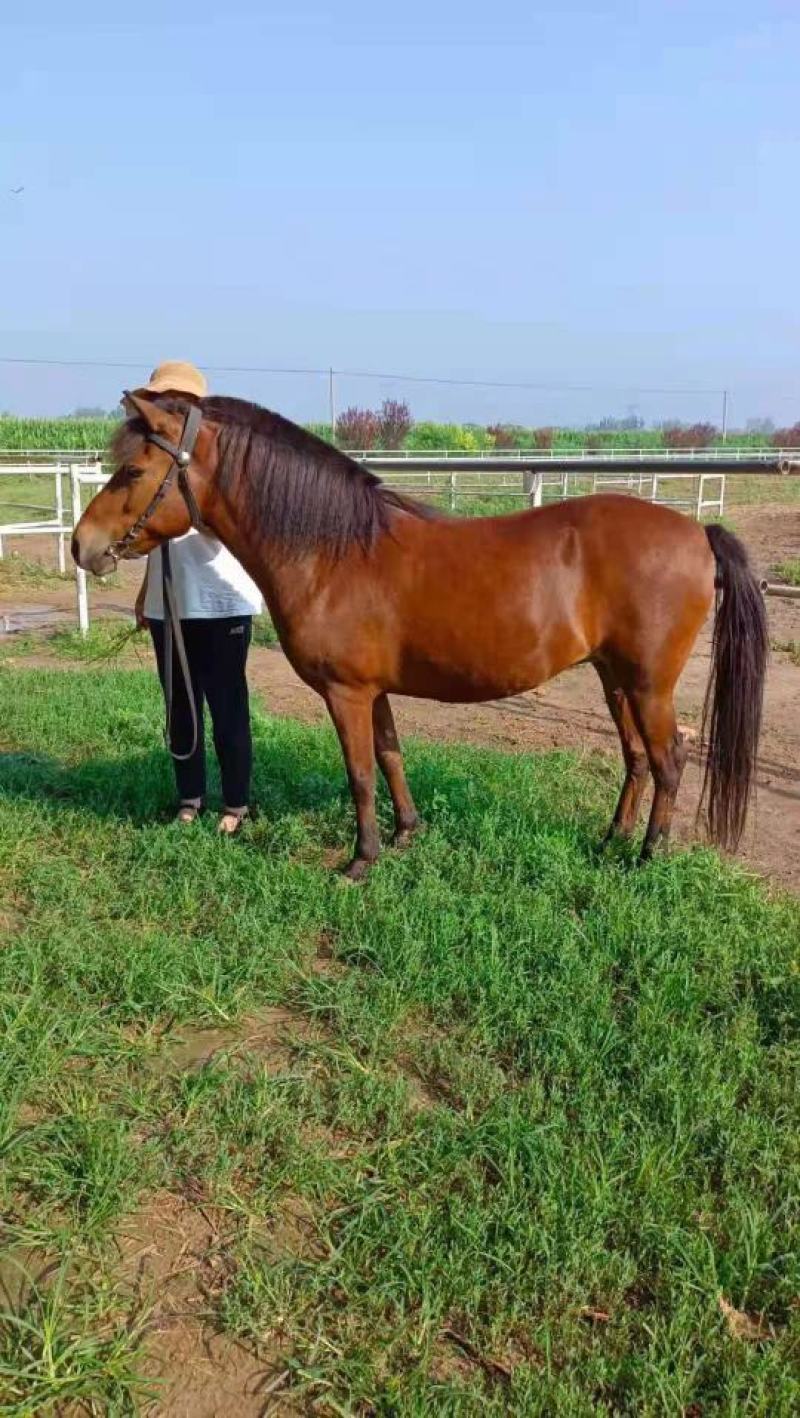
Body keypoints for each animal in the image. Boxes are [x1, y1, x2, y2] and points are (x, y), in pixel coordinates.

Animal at [72, 391, 769, 880]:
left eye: (132, 472)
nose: (83, 547)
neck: (333, 553)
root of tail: (697, 532)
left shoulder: (346, 693)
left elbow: (358, 772)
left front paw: (360, 860)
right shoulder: (373, 691)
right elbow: (390, 756)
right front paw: (407, 833)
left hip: (649, 684)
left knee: (669, 759)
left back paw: (647, 857)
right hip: (613, 677)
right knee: (635, 759)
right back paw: (611, 840)